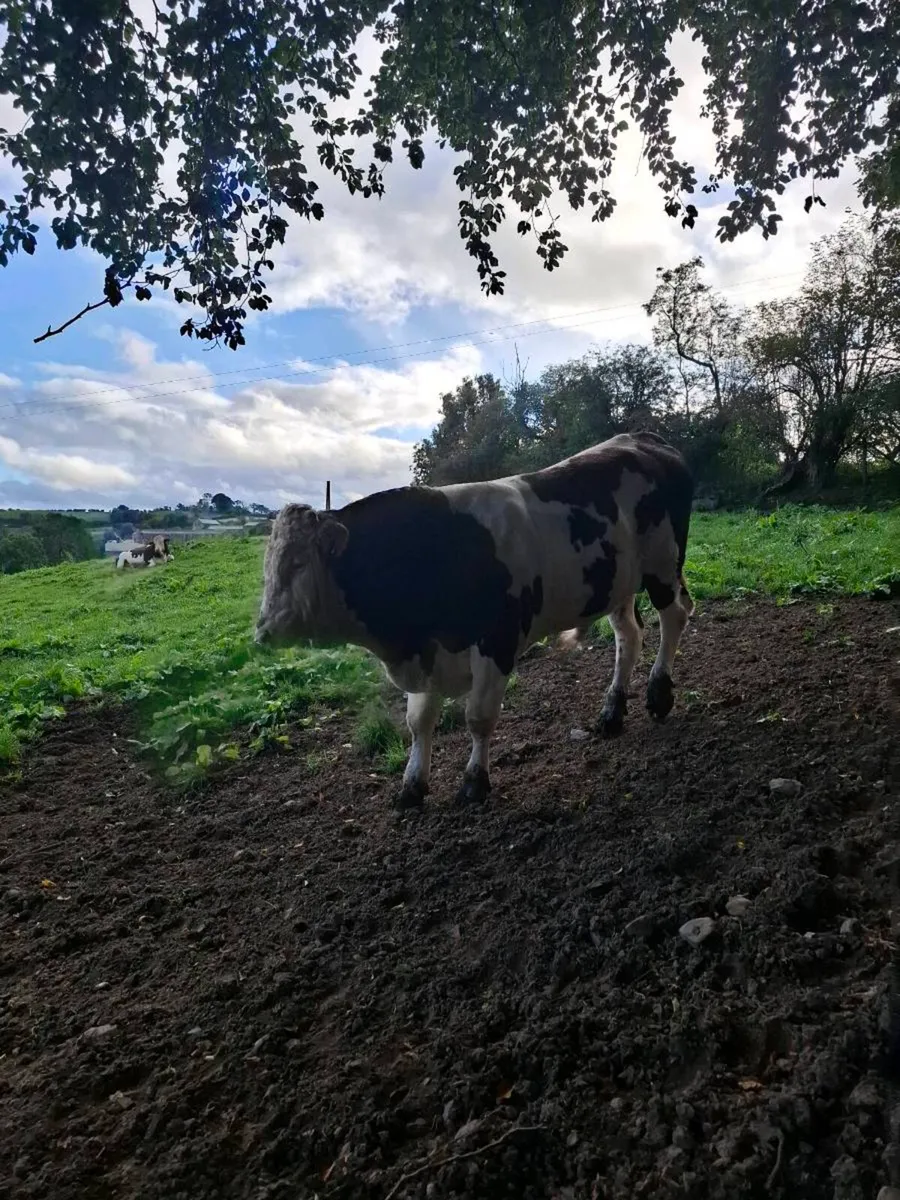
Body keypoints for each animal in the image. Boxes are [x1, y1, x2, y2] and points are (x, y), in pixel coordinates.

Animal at [254, 431, 695, 810]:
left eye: (296, 563)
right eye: (267, 567)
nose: (262, 632)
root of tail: (642, 437)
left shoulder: (496, 642)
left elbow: (479, 718)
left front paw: (473, 782)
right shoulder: (427, 652)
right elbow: (418, 722)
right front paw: (412, 785)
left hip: (662, 567)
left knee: (674, 617)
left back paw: (659, 692)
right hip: (618, 583)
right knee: (629, 637)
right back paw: (612, 711)